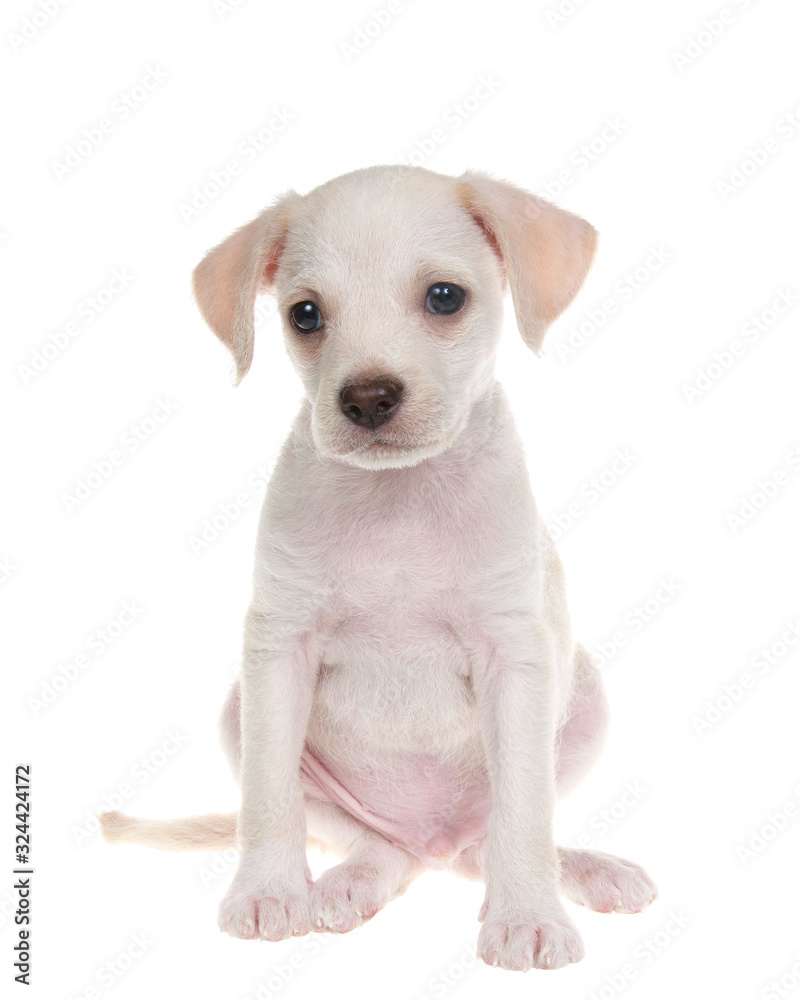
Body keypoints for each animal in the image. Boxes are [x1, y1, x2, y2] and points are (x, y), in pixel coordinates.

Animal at [98, 164, 656, 968]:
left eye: (445, 297)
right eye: (305, 314)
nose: (366, 398)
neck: (399, 503)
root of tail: (433, 838)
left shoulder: (515, 658)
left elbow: (524, 811)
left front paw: (527, 916)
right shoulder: (279, 651)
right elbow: (268, 799)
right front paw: (267, 891)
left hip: (583, 704)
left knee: (488, 840)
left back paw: (580, 870)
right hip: (242, 716)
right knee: (378, 847)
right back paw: (348, 883)